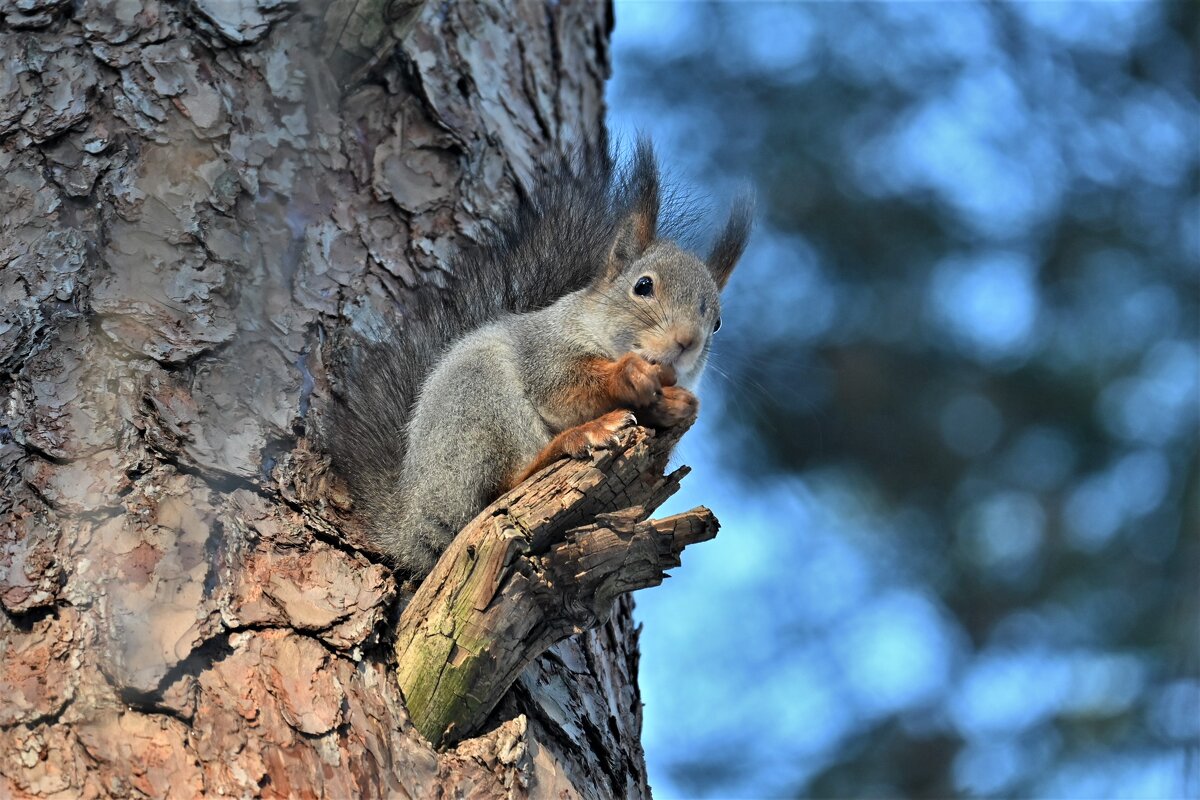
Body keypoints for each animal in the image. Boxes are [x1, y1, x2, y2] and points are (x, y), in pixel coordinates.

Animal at [324, 139, 744, 575]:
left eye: (717, 322)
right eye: (643, 286)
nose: (687, 341)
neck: (590, 325)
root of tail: (409, 523)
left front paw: (680, 405)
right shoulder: (543, 353)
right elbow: (564, 390)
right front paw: (628, 375)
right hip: (477, 398)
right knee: (500, 488)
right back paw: (575, 439)